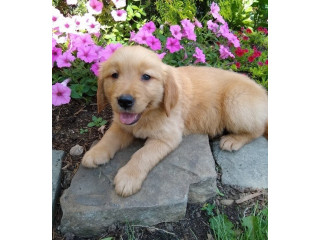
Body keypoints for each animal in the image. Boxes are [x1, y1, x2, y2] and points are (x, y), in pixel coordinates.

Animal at [80, 45, 268, 197]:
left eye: (146, 77)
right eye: (114, 75)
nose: (124, 101)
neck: (148, 114)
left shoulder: (167, 137)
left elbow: (142, 154)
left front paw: (128, 177)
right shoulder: (121, 124)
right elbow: (109, 137)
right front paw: (95, 152)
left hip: (235, 102)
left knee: (257, 130)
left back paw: (233, 140)